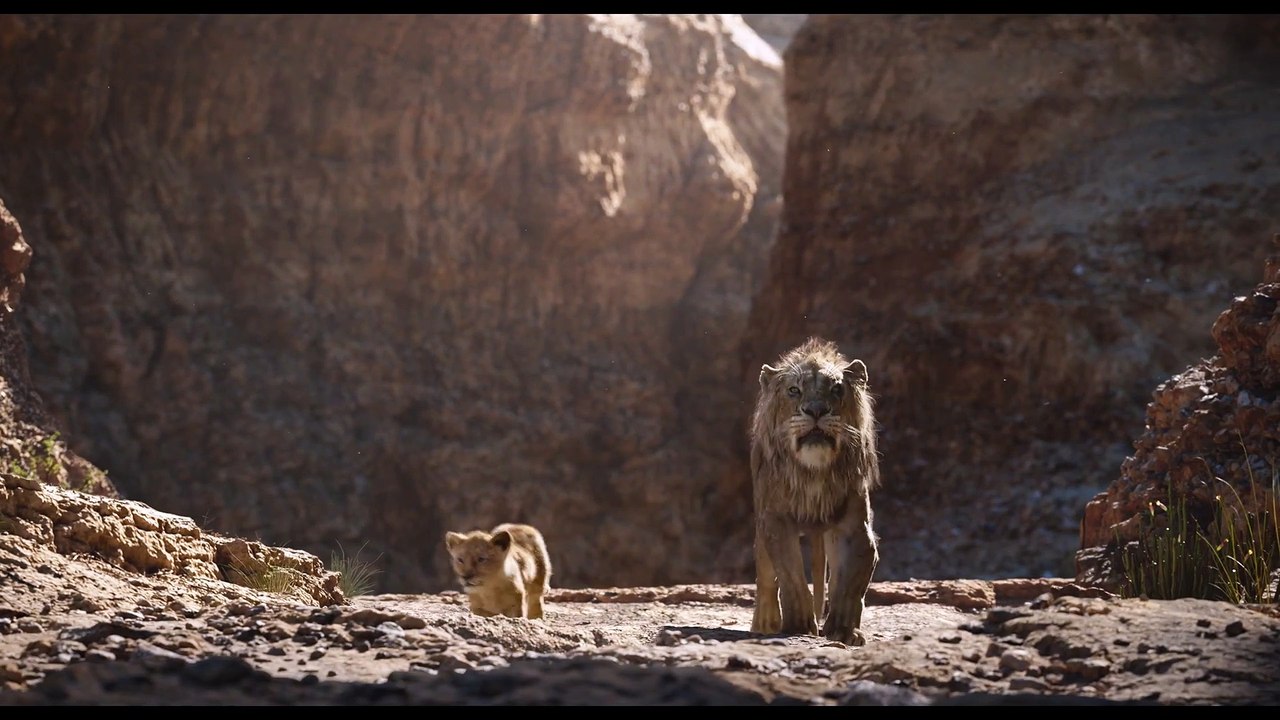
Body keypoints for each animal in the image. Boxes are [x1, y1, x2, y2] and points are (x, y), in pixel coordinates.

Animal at [748, 336, 880, 646]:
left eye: (836, 389)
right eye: (794, 390)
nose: (817, 411)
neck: (814, 473)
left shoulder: (854, 528)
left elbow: (850, 585)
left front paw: (844, 630)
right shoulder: (776, 522)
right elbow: (790, 576)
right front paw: (799, 624)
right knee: (765, 573)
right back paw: (765, 621)